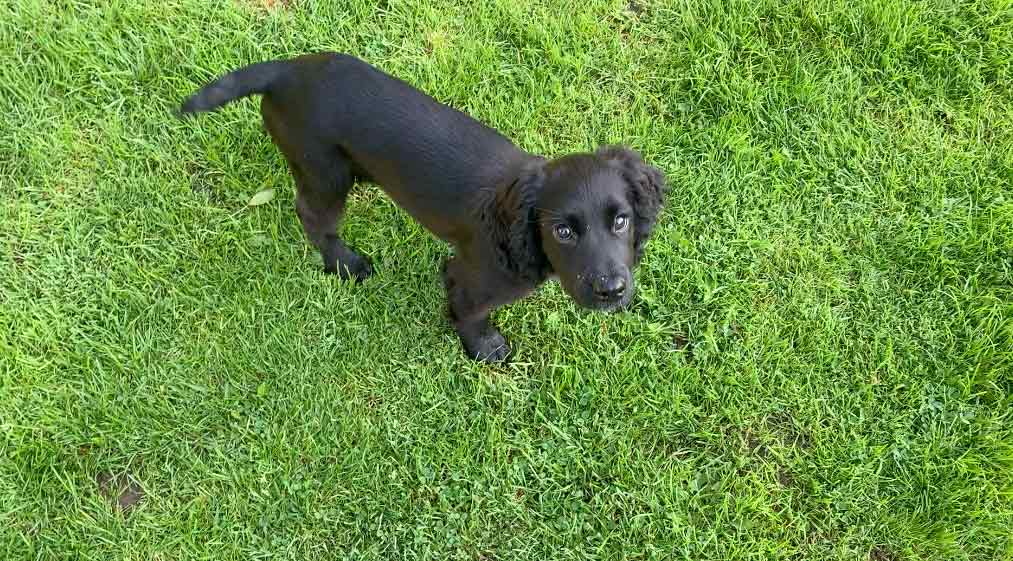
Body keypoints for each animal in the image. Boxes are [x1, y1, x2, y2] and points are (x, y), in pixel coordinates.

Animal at [181, 51, 664, 358]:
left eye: (621, 221)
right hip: (323, 171)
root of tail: (285, 71)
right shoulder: (470, 275)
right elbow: (470, 310)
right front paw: (483, 347)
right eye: (562, 232)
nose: (611, 291)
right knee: (312, 215)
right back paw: (344, 263)